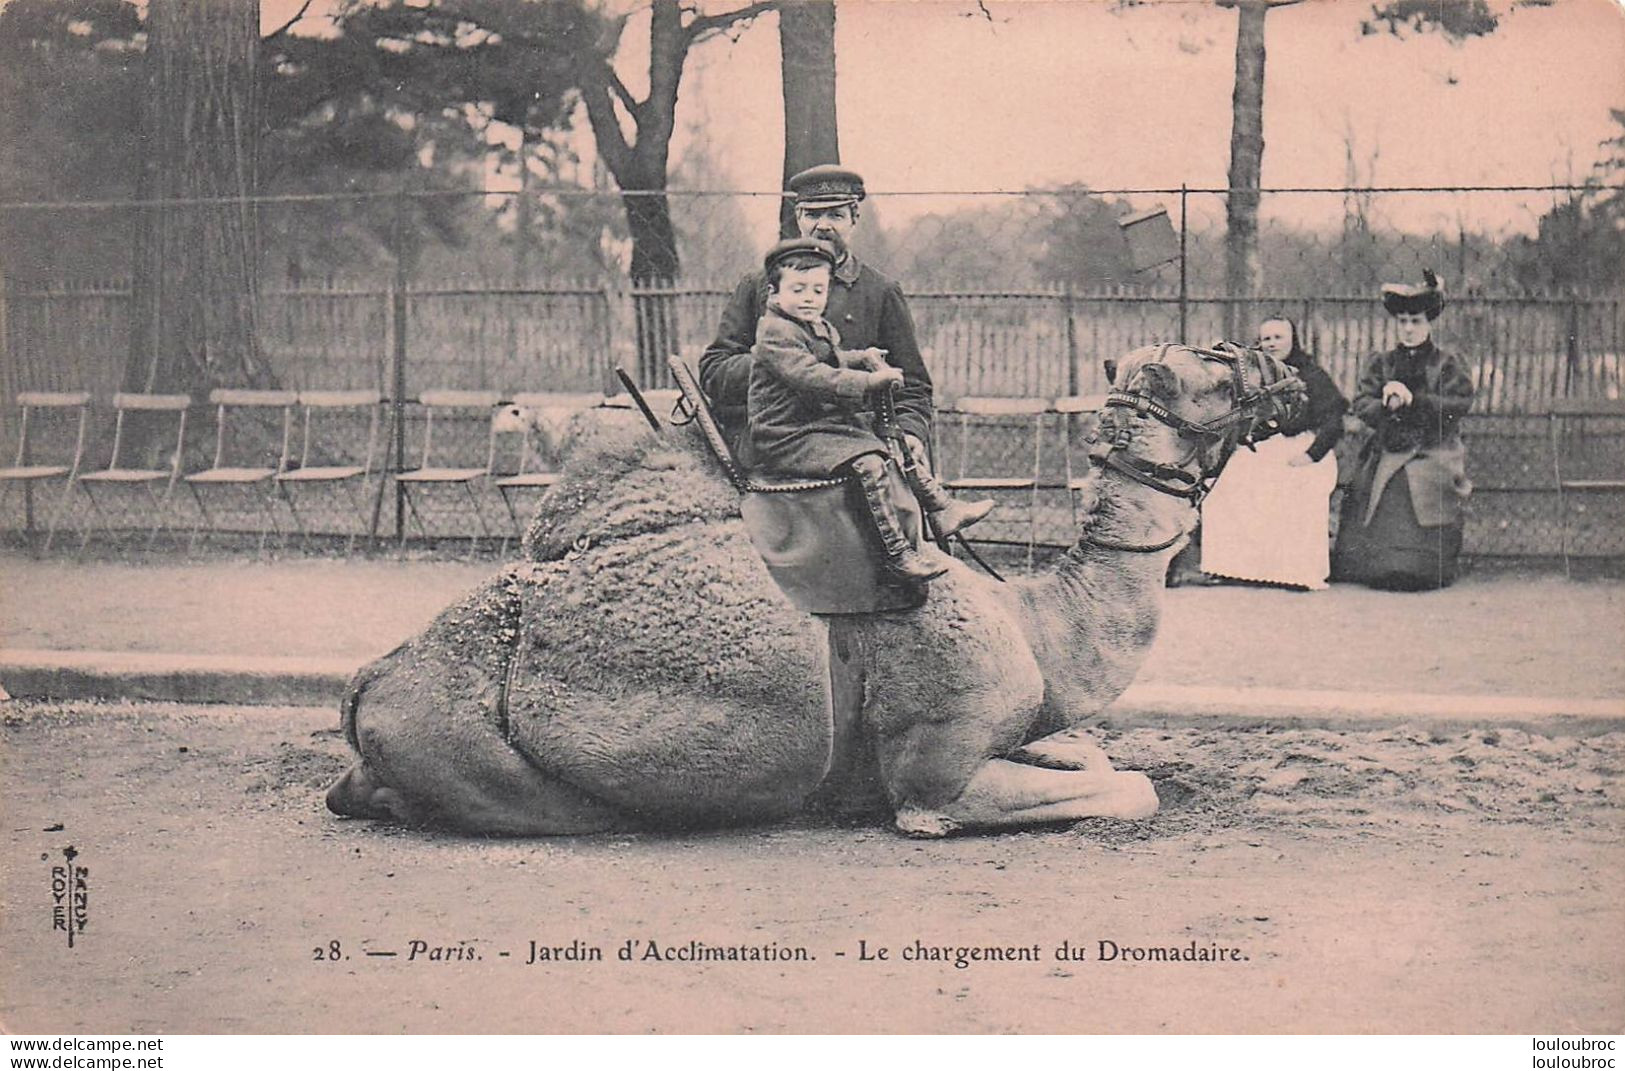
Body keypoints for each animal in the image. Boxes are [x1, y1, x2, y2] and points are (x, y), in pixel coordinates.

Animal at [323, 342, 1300, 838]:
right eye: (1216, 372)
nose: (1282, 362)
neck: (1033, 622)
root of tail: (370, 678)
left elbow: (1093, 755)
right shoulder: (935, 776)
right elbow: (1131, 787)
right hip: (492, 759)